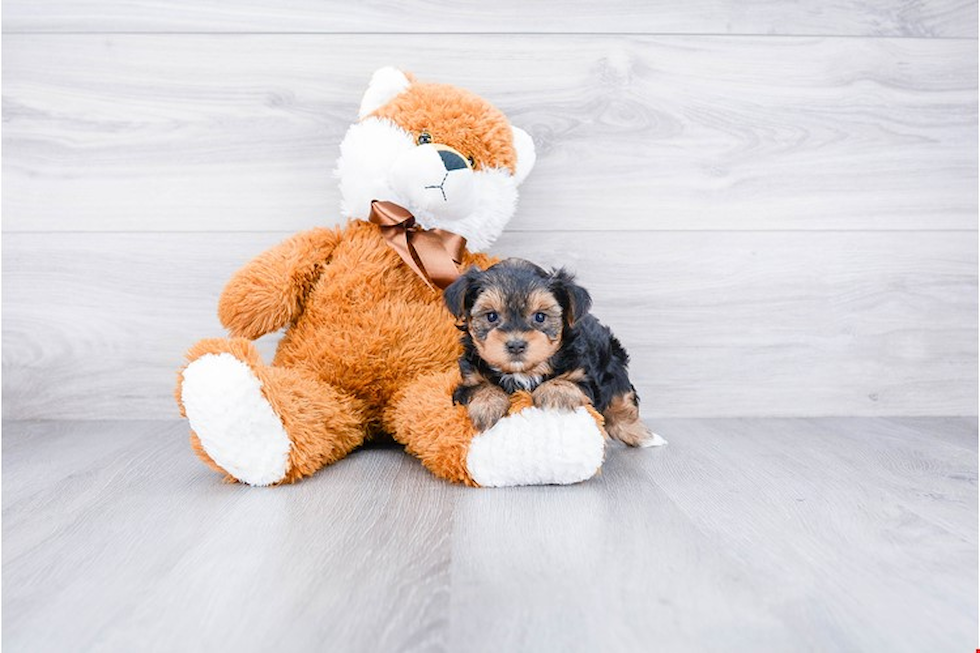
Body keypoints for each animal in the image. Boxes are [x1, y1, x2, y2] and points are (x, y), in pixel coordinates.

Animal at [446, 258, 660, 446]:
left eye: (540, 317)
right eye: (491, 316)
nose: (516, 345)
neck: (524, 372)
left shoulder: (585, 376)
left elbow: (570, 381)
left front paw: (555, 395)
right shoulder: (468, 380)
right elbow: (479, 387)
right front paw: (488, 405)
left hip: (613, 362)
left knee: (621, 398)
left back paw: (642, 435)